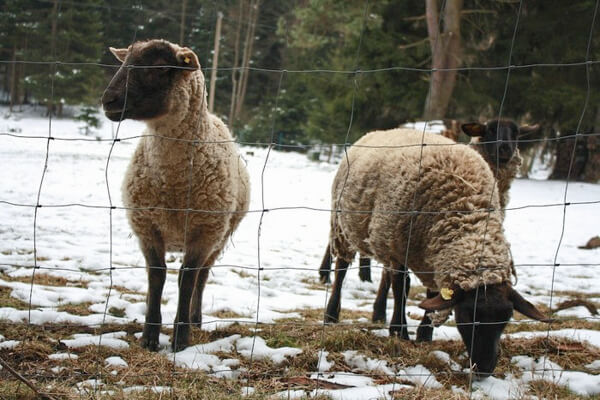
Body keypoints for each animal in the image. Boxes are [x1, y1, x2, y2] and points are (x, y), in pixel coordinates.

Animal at [100, 39, 248, 352]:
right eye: (125, 61)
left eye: (159, 67)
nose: (108, 100)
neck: (173, 182)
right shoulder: (147, 226)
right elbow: (156, 275)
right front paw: (149, 336)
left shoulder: (204, 231)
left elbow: (187, 279)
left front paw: (181, 337)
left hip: (220, 236)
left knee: (202, 277)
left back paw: (195, 319)